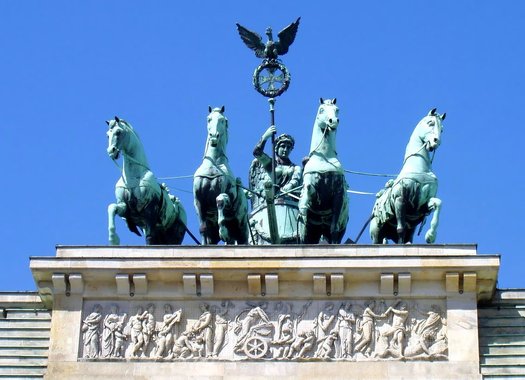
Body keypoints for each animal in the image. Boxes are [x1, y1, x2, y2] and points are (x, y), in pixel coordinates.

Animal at [106, 117, 186, 245]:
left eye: (118, 132)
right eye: (107, 135)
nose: (111, 151)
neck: (133, 177)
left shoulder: (149, 213)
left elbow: (149, 238)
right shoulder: (124, 207)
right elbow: (112, 207)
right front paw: (113, 239)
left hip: (174, 236)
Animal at [193, 105, 249, 245]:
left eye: (223, 120)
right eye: (209, 119)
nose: (214, 136)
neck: (214, 164)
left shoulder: (224, 193)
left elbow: (219, 200)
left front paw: (222, 231)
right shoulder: (198, 200)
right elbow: (203, 228)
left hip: (242, 228)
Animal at [298, 98, 348, 243]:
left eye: (337, 109)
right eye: (321, 109)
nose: (333, 121)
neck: (324, 158)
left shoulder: (338, 194)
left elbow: (334, 229)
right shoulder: (311, 187)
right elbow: (307, 195)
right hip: (313, 230)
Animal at [368, 107, 446, 243]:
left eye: (442, 129)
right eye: (430, 123)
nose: (436, 142)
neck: (419, 167)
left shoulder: (422, 206)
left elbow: (438, 203)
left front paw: (431, 235)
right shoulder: (400, 199)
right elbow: (400, 229)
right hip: (376, 231)